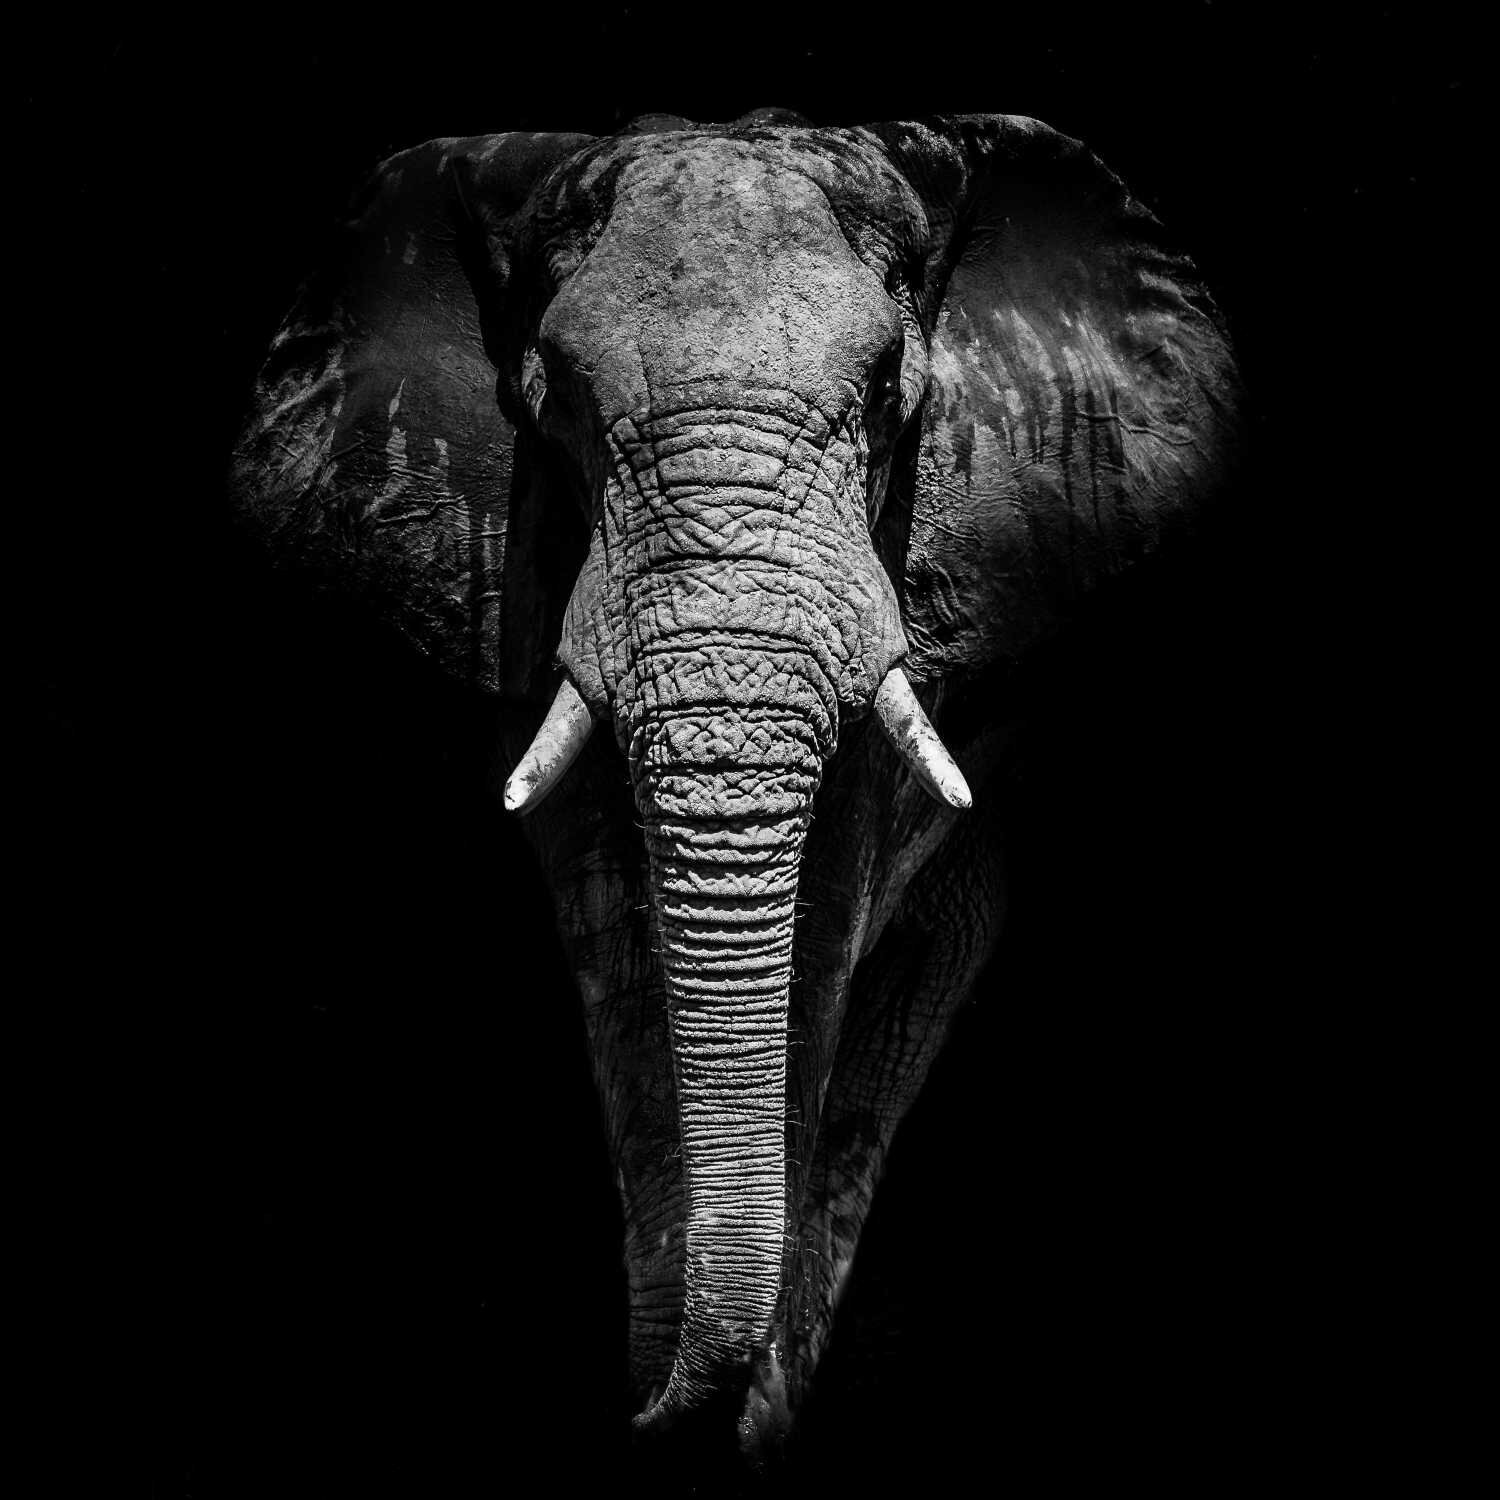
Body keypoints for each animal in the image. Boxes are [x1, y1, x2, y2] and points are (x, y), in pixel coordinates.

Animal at [229, 107, 1241, 1472]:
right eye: (559, 402)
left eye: (887, 394)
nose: (640, 1412)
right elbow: (604, 904)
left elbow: (831, 907)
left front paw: (734, 1423)